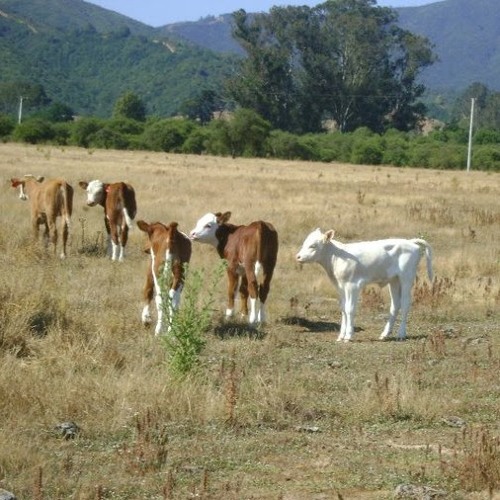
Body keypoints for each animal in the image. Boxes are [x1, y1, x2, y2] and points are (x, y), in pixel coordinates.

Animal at [294, 229, 432, 340]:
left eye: (313, 246)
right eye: (304, 243)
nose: (298, 257)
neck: (337, 256)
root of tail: (410, 242)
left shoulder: (352, 285)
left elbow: (350, 309)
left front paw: (348, 336)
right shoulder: (341, 286)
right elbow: (343, 309)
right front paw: (341, 336)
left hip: (407, 277)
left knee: (405, 304)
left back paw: (401, 334)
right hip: (394, 280)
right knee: (395, 305)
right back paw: (385, 334)